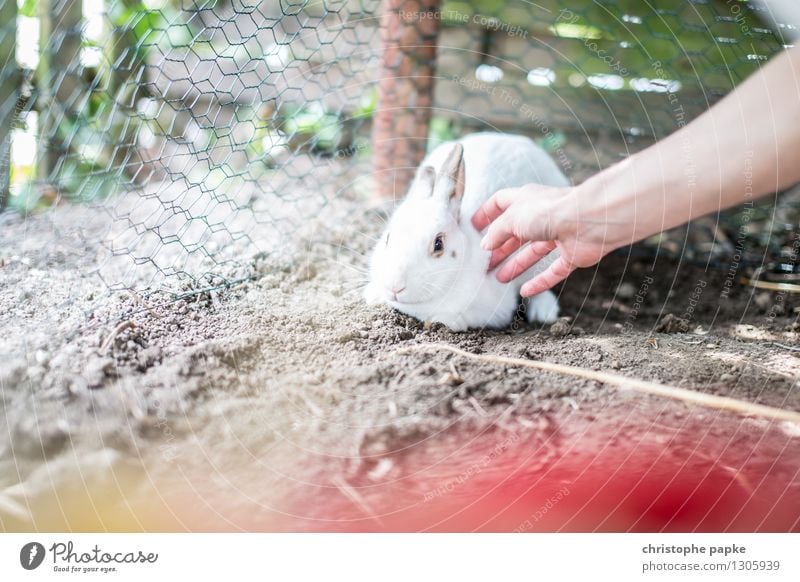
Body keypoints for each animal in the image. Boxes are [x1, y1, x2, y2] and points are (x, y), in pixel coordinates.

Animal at [366, 133, 564, 334]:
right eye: (387, 238)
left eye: (438, 244)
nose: (394, 286)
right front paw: (373, 296)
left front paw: (444, 321)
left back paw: (544, 312)